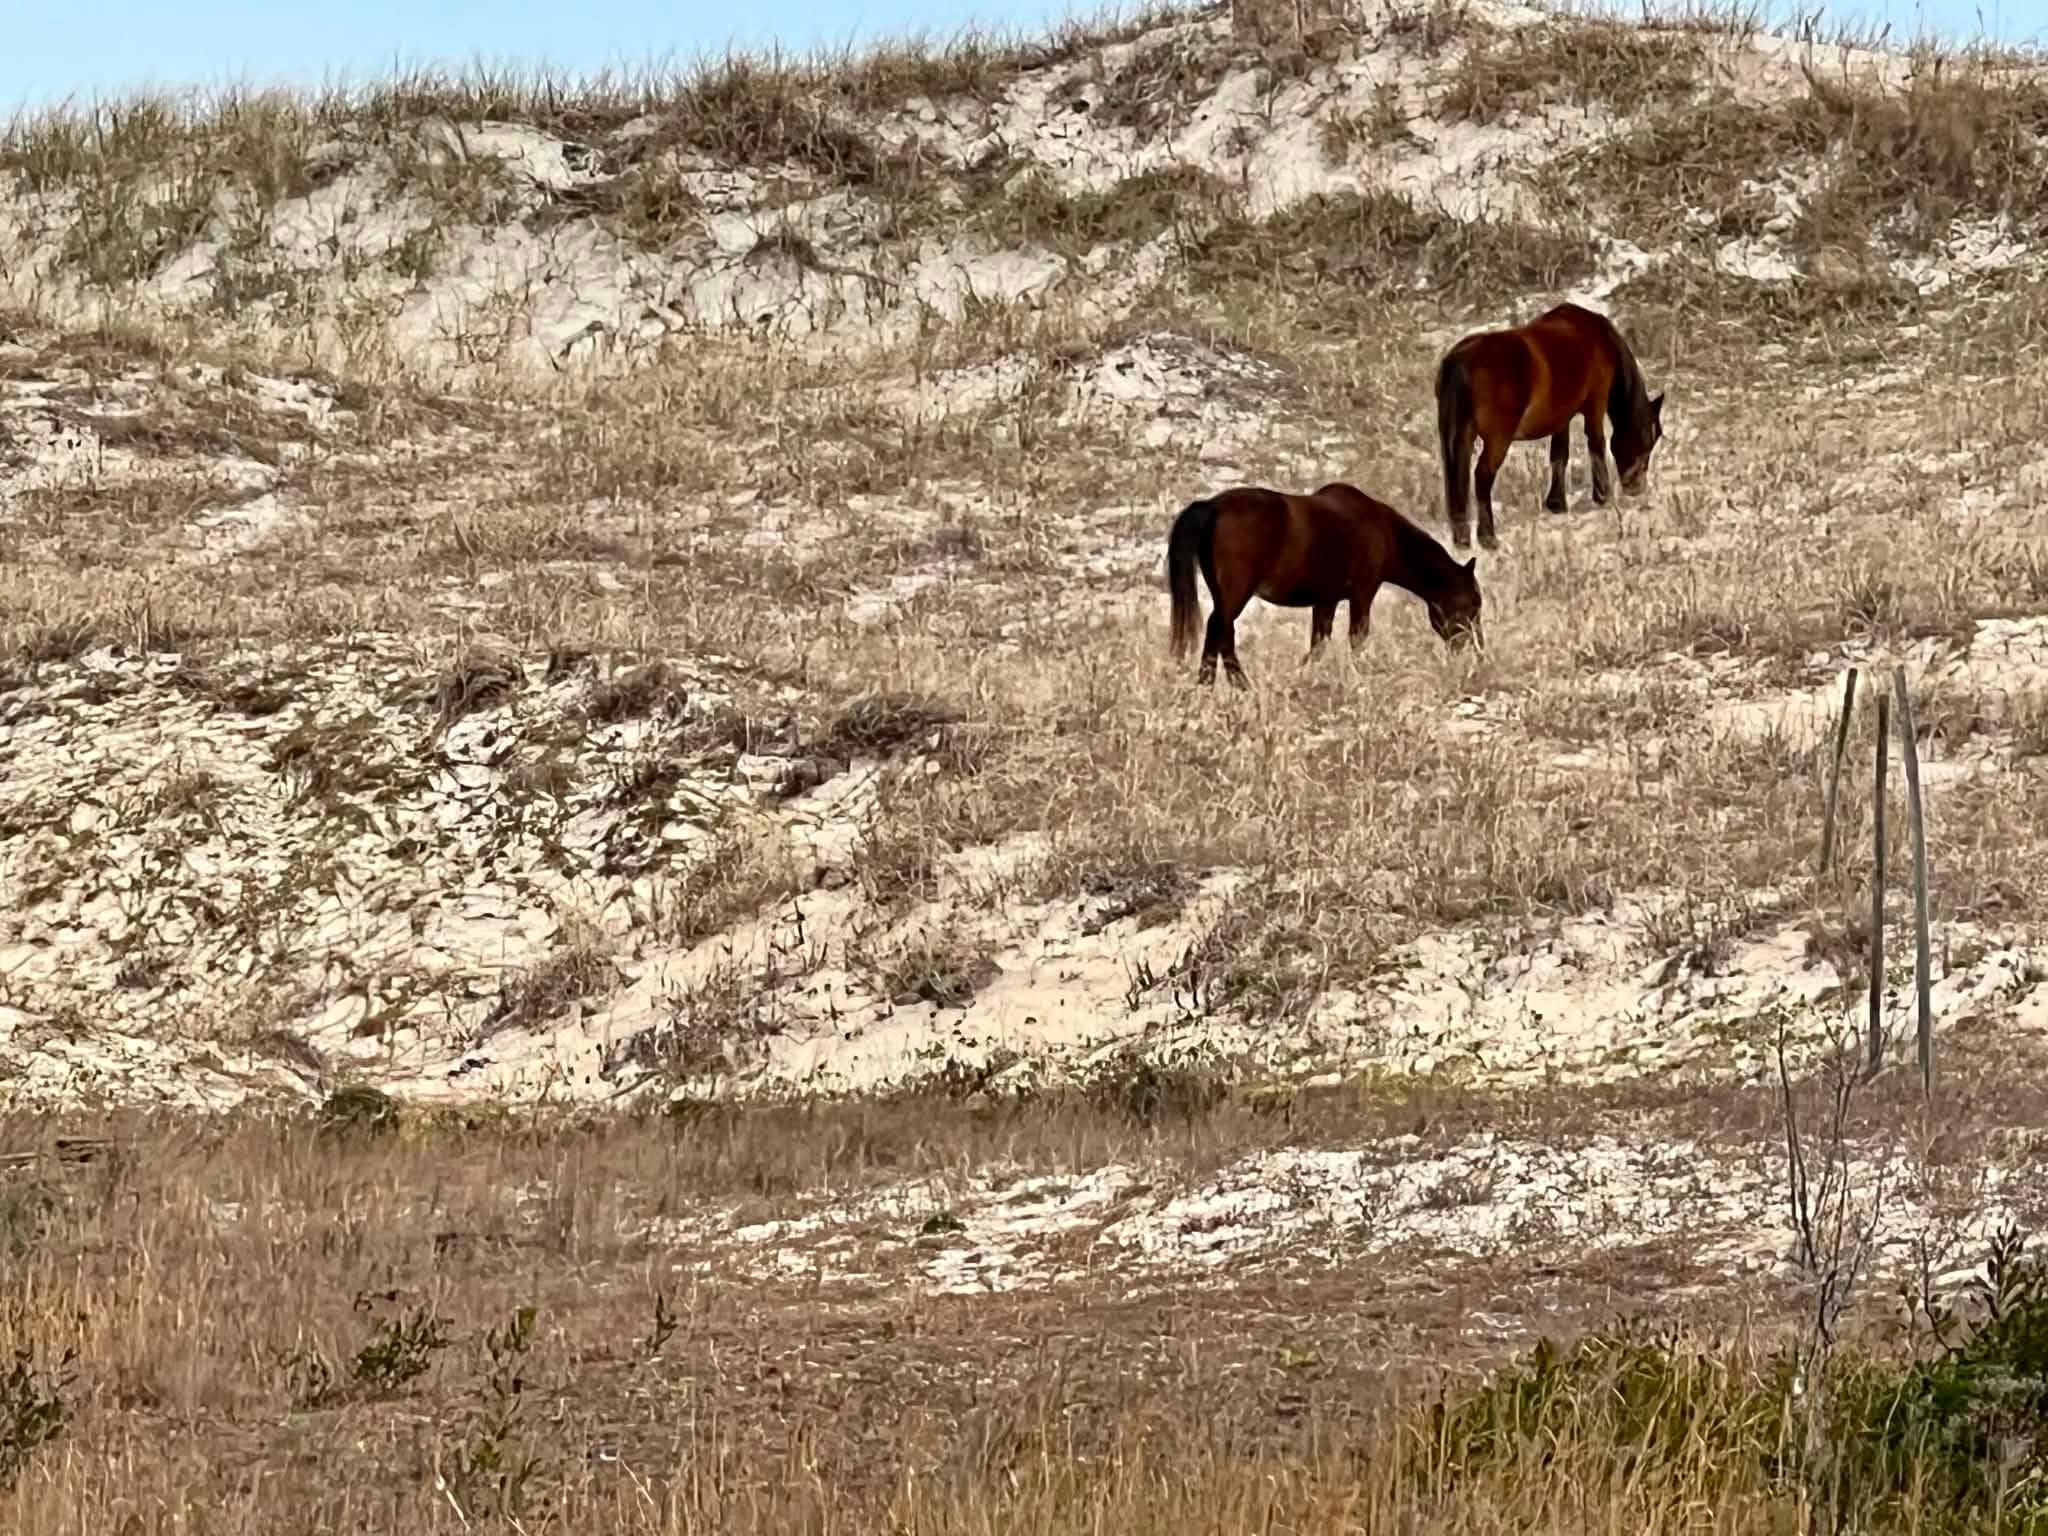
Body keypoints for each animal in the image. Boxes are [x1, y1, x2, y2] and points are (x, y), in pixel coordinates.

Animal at [1165, 481, 1483, 688]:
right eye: (1470, 603)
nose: (1474, 648)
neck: (1384, 531)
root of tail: (1212, 505)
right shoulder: (1363, 592)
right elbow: (1357, 637)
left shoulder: (1326, 600)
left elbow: (1318, 643)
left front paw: (1302, 676)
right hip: (1235, 594)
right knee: (1221, 632)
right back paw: (1232, 685)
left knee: (1219, 632)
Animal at [1434, 300, 1666, 552]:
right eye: (1646, 441)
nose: (1636, 488)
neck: (1599, 338)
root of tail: (1460, 361)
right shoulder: (1596, 402)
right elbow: (1596, 443)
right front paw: (1603, 496)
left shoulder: (1561, 417)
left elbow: (1558, 456)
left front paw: (1556, 503)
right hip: (1497, 439)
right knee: (1483, 476)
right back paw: (1488, 537)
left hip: (1459, 436)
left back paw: (1462, 539)